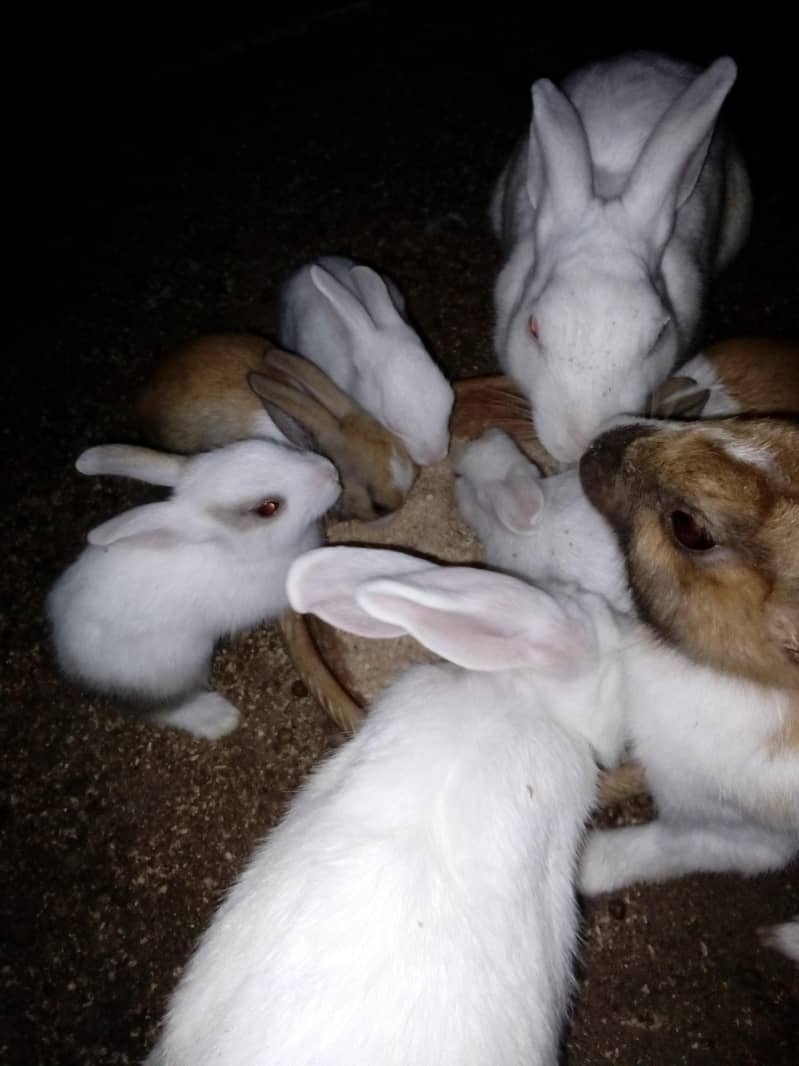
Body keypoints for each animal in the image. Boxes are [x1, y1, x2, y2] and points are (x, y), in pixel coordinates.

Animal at [46, 439, 340, 740]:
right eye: (268, 508)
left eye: (271, 446)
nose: (331, 473)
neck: (236, 552)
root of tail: (68, 661)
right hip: (176, 666)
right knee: (158, 707)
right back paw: (217, 718)